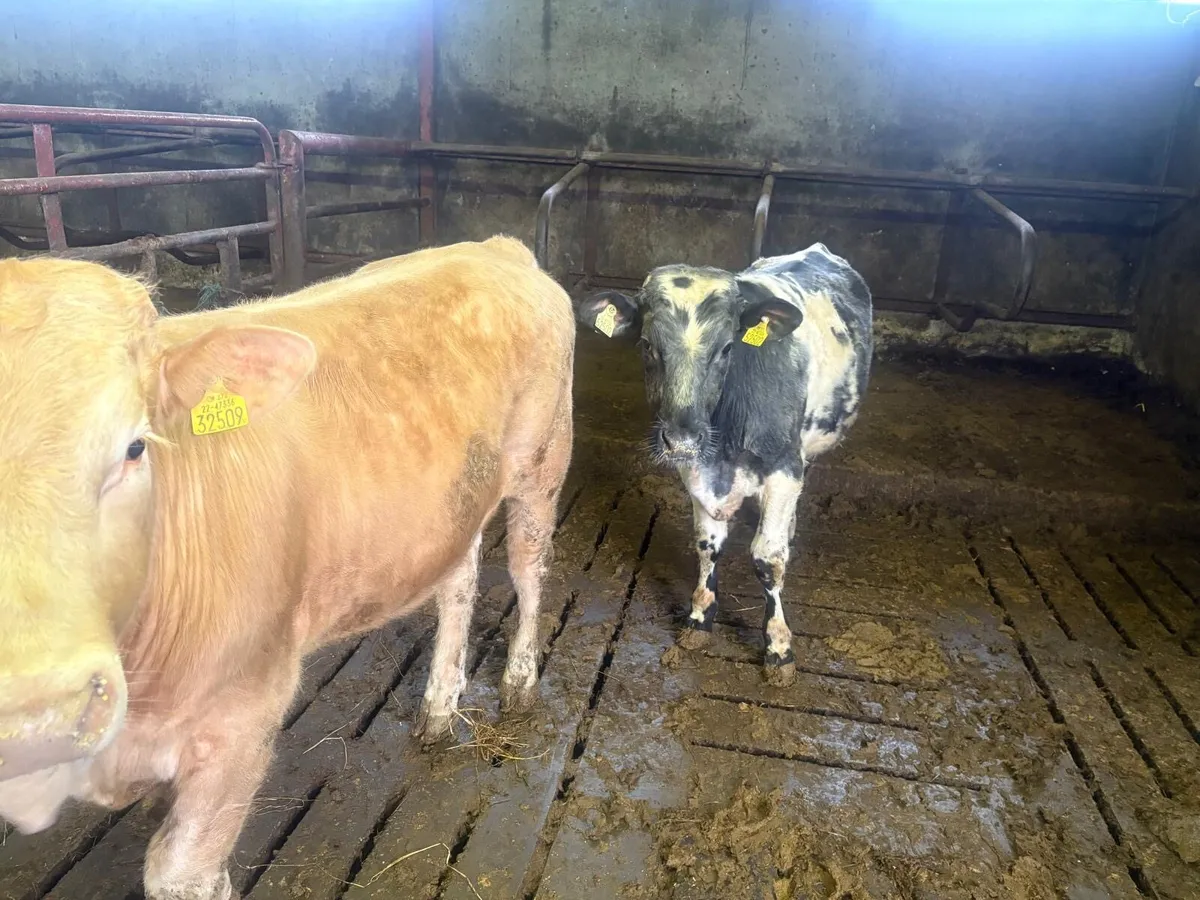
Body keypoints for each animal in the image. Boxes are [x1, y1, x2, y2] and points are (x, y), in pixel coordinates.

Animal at [0, 235, 575, 900]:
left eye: (136, 446)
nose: (38, 716)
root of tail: (493, 247)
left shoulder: (242, 717)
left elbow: (179, 872)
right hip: (456, 505)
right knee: (458, 584)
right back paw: (437, 708)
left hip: (542, 459)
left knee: (528, 567)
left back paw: (519, 682)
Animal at [575, 243, 872, 686]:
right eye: (646, 345)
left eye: (728, 348)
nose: (681, 439)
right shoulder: (696, 470)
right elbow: (707, 544)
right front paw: (700, 618)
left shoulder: (784, 467)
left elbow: (768, 558)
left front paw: (778, 648)